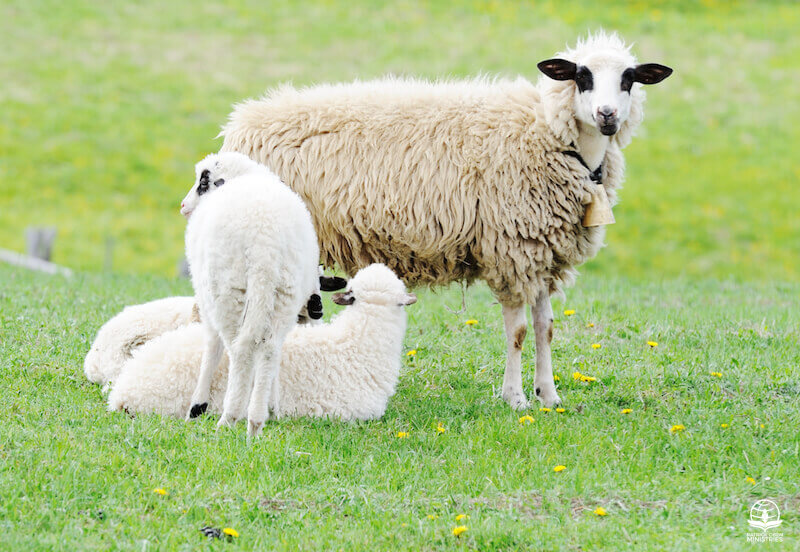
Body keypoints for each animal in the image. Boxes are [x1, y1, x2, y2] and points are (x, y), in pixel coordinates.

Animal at [182, 151, 320, 436]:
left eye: (203, 183)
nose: (183, 206)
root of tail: (265, 241)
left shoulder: (206, 301)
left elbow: (211, 348)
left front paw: (196, 407)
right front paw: (273, 405)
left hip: (228, 291)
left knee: (240, 351)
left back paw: (230, 416)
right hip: (284, 292)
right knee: (269, 350)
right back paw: (256, 419)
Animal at [219, 31, 672, 409]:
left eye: (629, 79)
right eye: (581, 76)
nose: (607, 115)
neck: (551, 136)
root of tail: (239, 126)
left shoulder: (541, 254)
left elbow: (546, 328)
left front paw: (549, 395)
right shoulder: (511, 249)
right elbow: (519, 332)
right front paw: (515, 398)